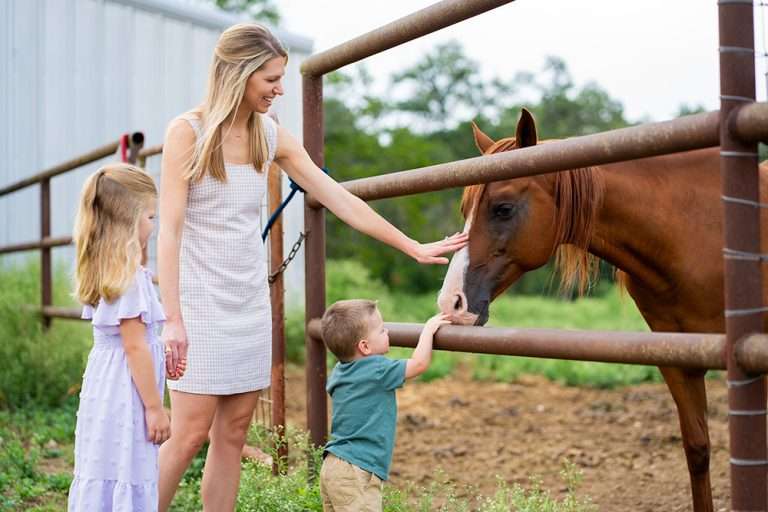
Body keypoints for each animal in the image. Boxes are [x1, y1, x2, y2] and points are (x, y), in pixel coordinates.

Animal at [437, 108, 768, 512]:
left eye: (503, 209)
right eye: (465, 210)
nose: (451, 302)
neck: (700, 231)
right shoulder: (677, 359)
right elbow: (698, 449)